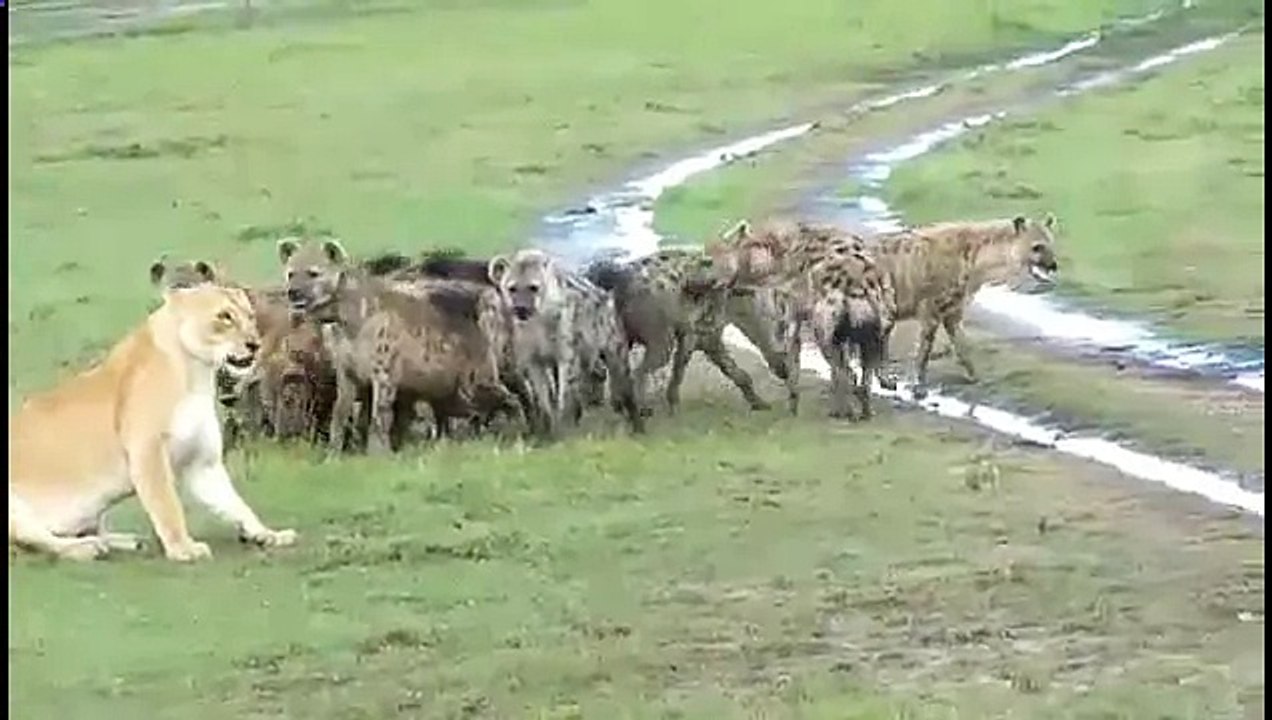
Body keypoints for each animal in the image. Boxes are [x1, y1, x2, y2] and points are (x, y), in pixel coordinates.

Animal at [9, 284, 298, 562]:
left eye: (250, 316)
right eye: (224, 316)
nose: (254, 344)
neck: (196, 374)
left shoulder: (202, 464)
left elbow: (236, 504)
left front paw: (269, 534)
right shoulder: (147, 452)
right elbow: (167, 505)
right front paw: (184, 549)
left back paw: (123, 541)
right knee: (36, 541)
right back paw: (86, 549)